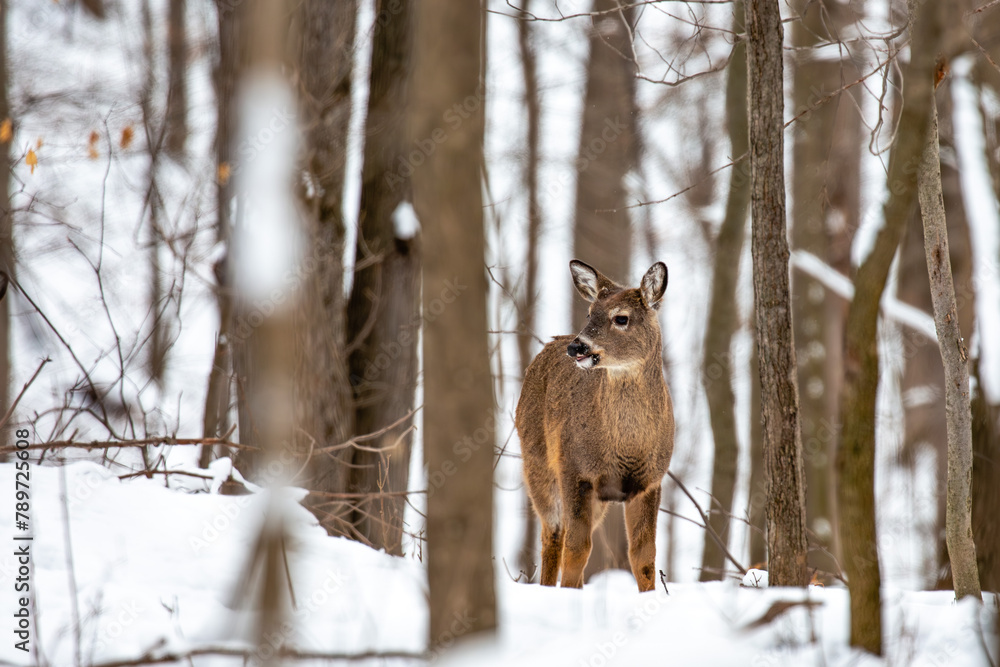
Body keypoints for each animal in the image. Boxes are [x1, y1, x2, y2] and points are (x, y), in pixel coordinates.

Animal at [516, 260, 674, 592]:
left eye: (621, 318)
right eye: (589, 313)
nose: (577, 347)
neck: (627, 447)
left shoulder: (650, 481)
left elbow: (644, 556)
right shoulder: (575, 471)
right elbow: (577, 549)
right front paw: (568, 594)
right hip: (536, 461)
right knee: (553, 533)